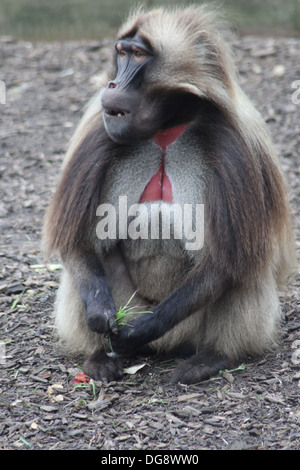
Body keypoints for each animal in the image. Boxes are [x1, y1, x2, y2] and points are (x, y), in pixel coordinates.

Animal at [43, 5, 296, 384]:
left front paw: (142, 329)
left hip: (187, 329)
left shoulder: (235, 145)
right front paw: (101, 315)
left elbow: (224, 261)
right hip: (130, 302)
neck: (166, 126)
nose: (113, 85)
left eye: (138, 55)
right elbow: (78, 244)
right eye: (121, 52)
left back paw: (210, 358)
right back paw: (101, 358)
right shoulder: (96, 134)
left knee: (244, 261)